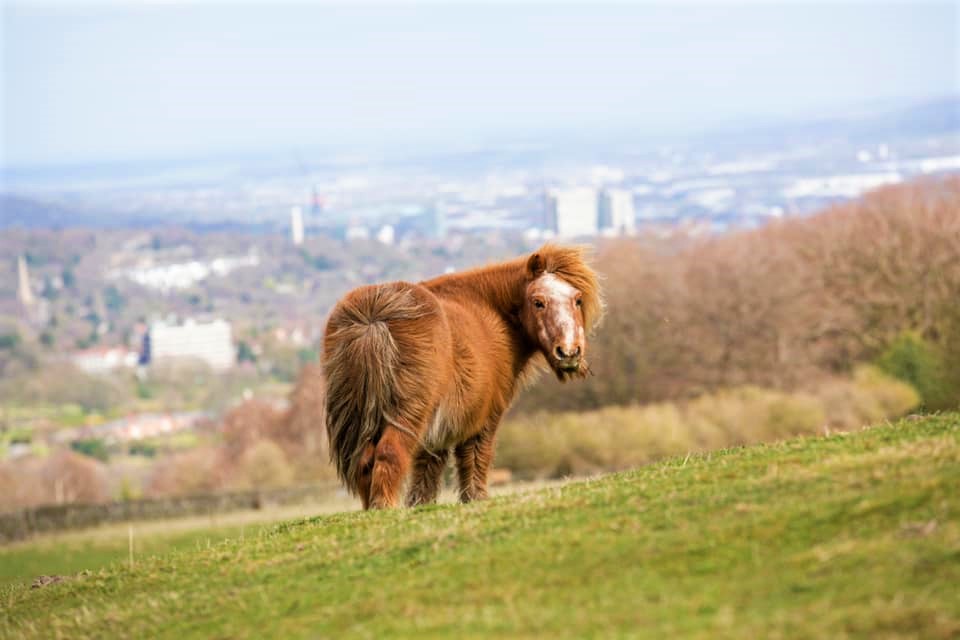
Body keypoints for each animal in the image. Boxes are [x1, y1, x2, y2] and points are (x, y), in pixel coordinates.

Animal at [322, 244, 604, 509]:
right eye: (538, 302)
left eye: (577, 300)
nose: (569, 352)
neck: (490, 312)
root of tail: (374, 319)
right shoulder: (484, 420)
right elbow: (475, 459)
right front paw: (476, 498)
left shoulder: (437, 434)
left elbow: (427, 474)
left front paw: (420, 505)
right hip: (409, 412)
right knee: (389, 452)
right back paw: (384, 507)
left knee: (365, 461)